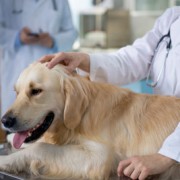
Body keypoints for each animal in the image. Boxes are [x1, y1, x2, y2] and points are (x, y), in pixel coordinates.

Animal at [0, 61, 180, 179]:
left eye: (36, 91)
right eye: (17, 92)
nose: (5, 121)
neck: (82, 115)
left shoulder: (99, 157)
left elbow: (40, 147)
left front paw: (6, 160)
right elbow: (41, 142)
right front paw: (11, 139)